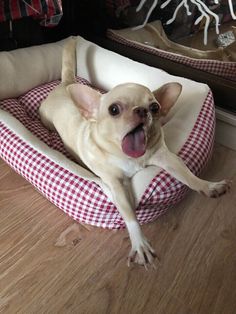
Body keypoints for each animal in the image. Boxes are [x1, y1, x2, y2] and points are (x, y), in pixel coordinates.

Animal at [39, 39, 230, 268]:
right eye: (113, 110)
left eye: (155, 107)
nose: (142, 110)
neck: (129, 157)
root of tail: (64, 85)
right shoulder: (116, 185)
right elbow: (130, 214)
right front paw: (140, 244)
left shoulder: (167, 158)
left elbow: (188, 176)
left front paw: (208, 186)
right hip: (46, 120)